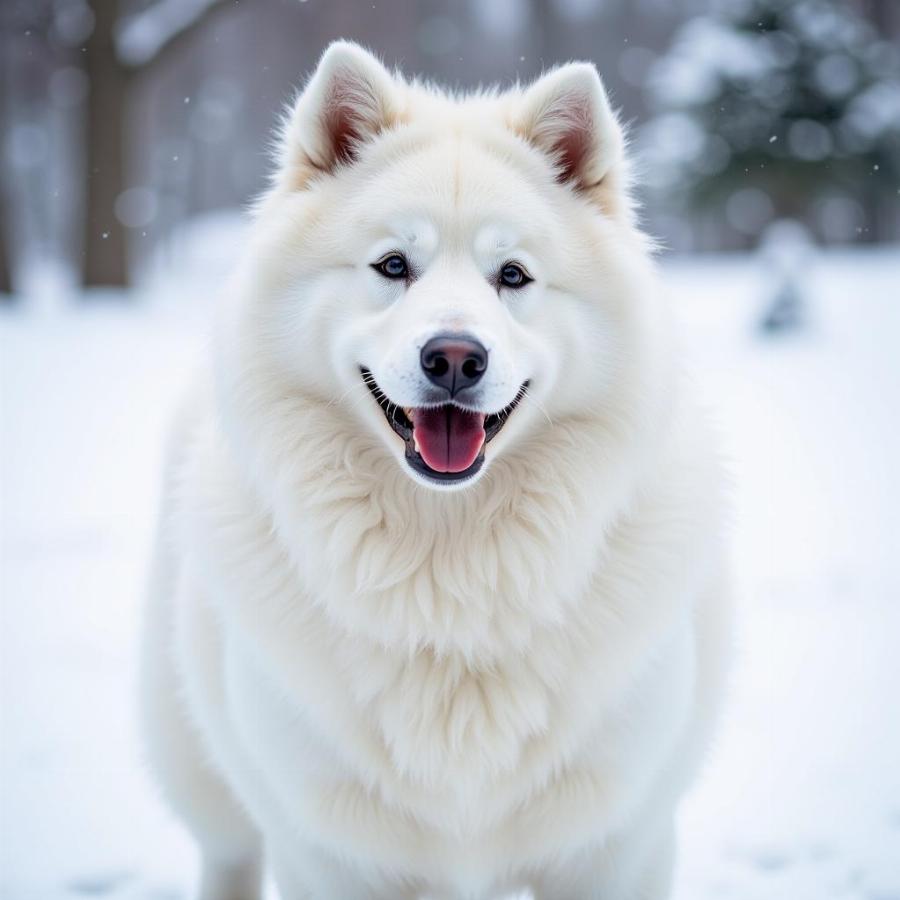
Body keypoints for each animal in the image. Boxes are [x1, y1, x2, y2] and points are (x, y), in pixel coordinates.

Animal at [141, 38, 732, 896]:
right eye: (394, 266)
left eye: (512, 275)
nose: (454, 357)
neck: (448, 566)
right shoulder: (329, 851)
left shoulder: (614, 844)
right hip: (205, 770)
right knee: (226, 852)